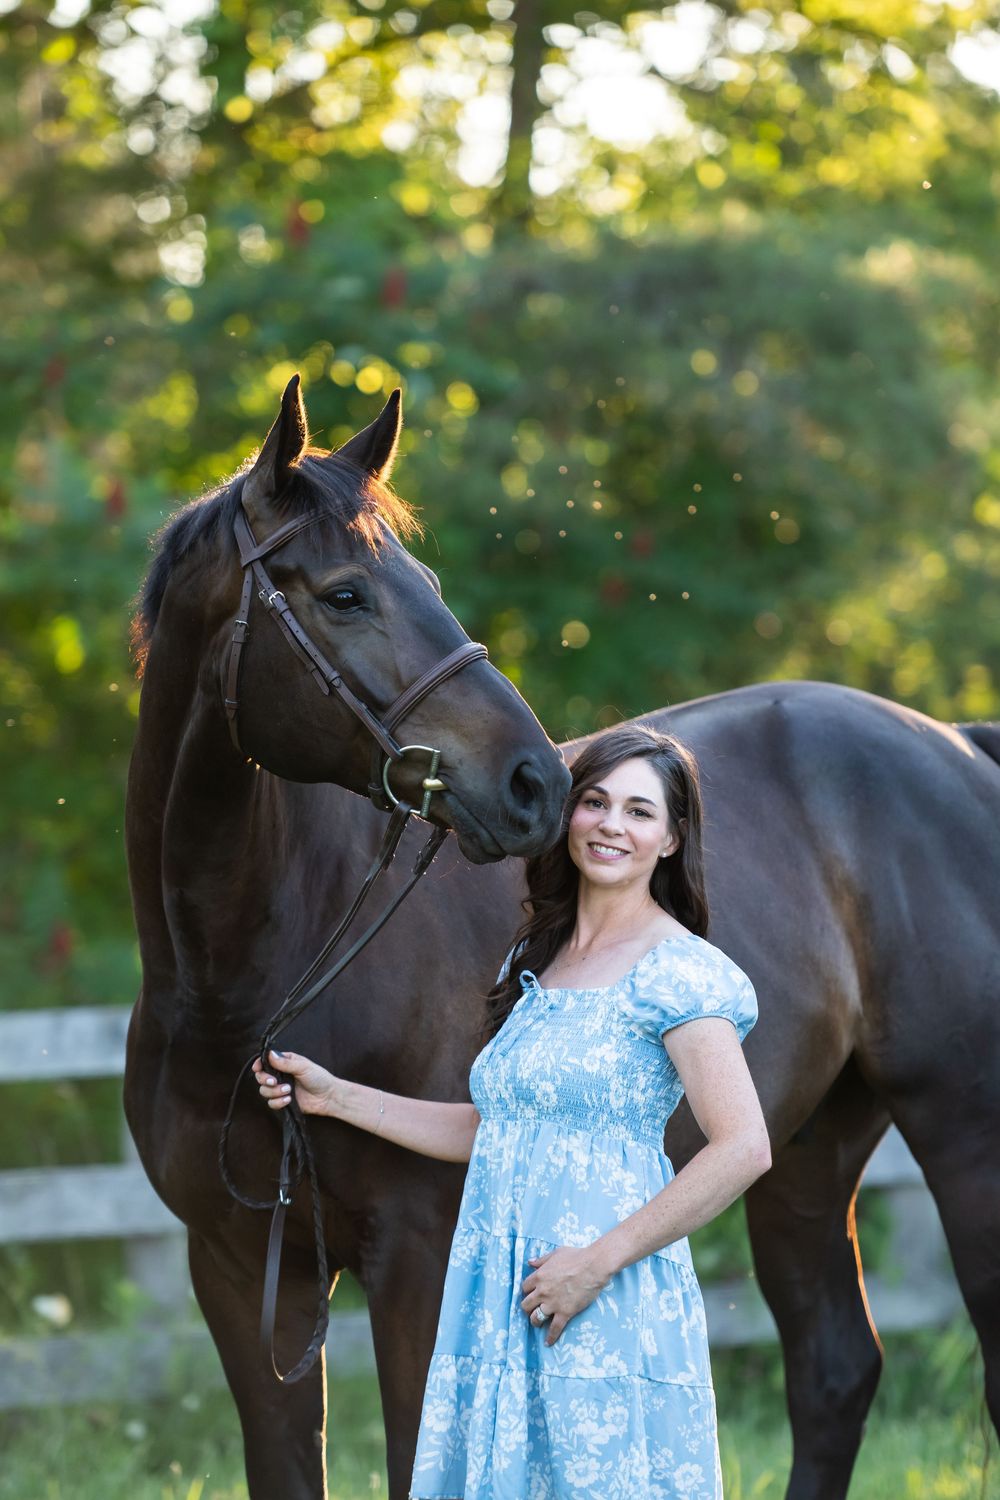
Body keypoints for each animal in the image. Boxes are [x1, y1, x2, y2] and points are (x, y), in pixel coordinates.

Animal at [126, 378, 1000, 1500]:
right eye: (345, 595)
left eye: (424, 581)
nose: (535, 781)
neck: (248, 982)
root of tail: (956, 750)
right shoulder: (239, 1268)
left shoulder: (417, 1255)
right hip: (802, 1151)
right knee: (833, 1373)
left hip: (967, 1135)